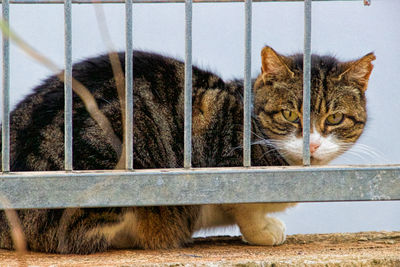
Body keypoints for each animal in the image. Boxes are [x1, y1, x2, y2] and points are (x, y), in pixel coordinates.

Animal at [0, 46, 376, 255]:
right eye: (289, 115)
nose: (312, 142)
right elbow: (246, 208)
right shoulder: (224, 163)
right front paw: (263, 230)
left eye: (335, 118)